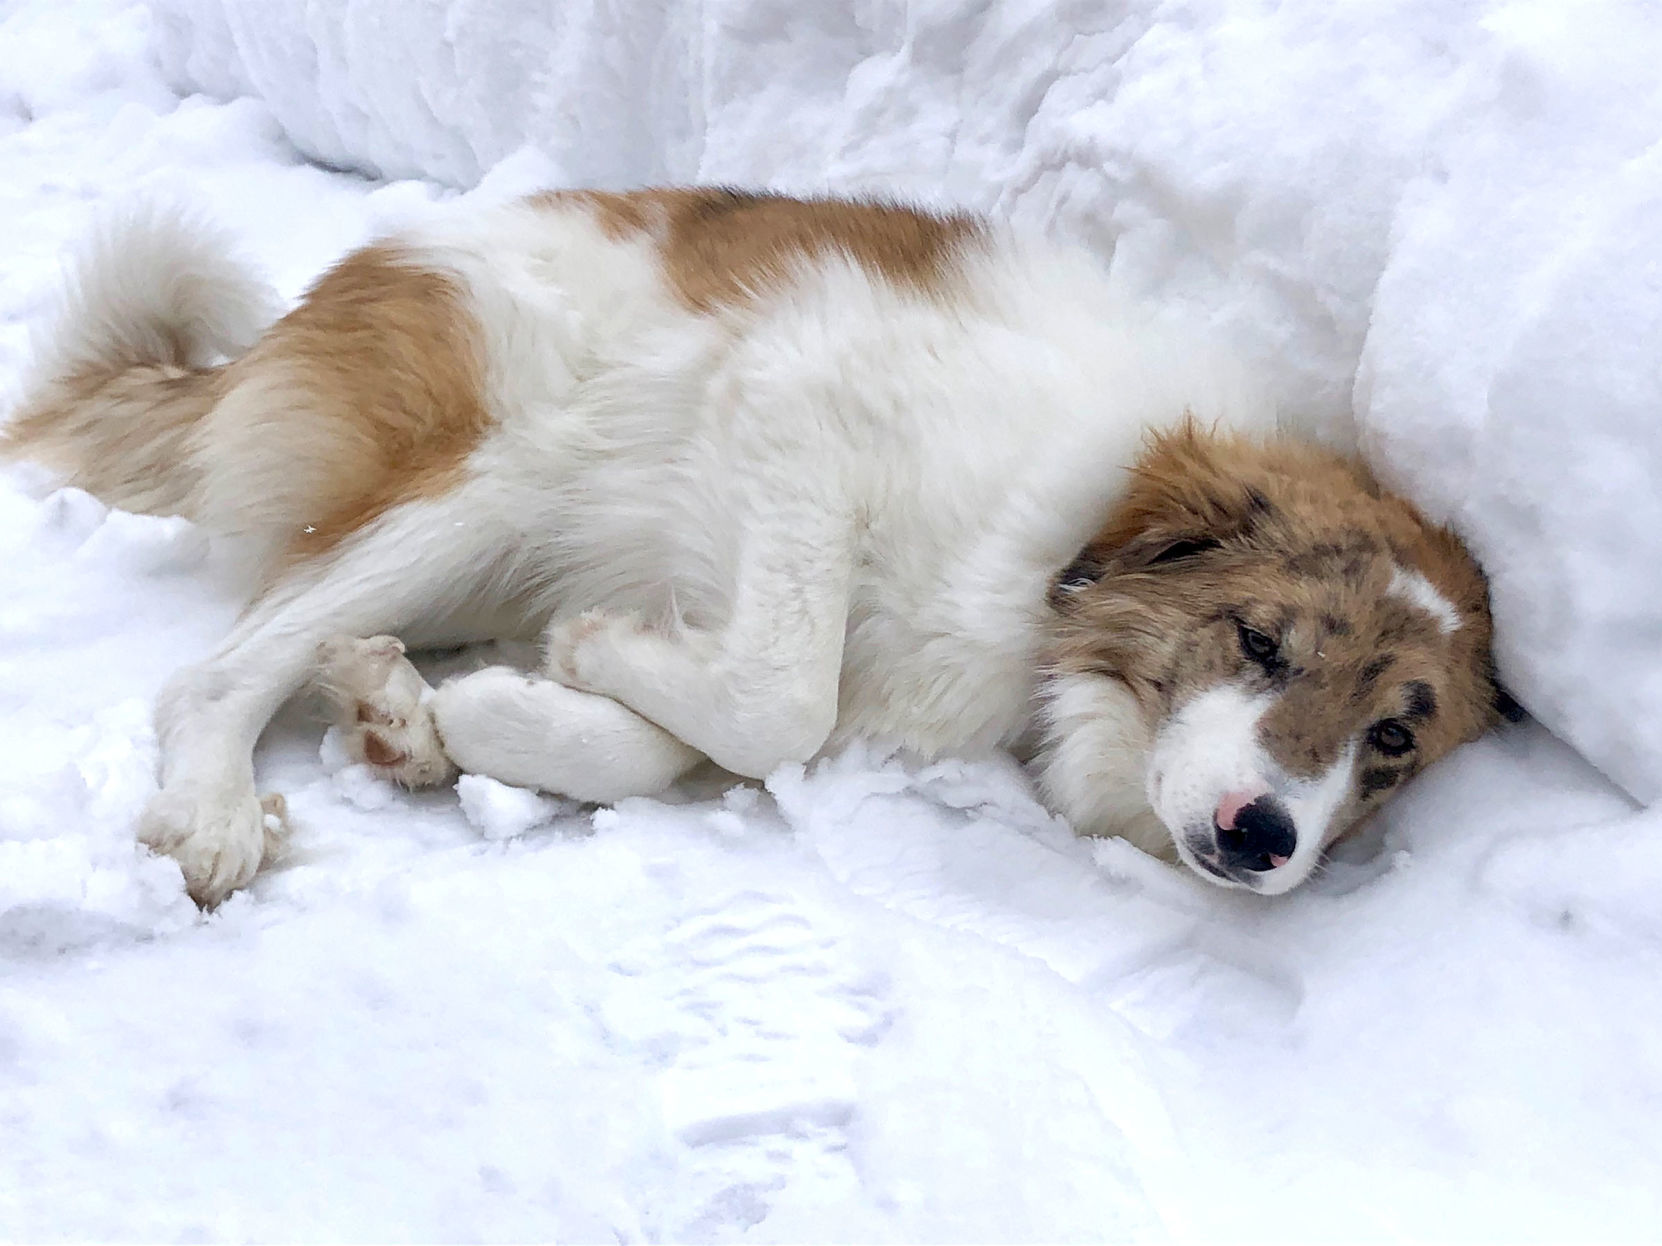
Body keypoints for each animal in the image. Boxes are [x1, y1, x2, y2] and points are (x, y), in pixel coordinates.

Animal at [0, 187, 1522, 910]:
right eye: (1258, 643)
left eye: (1394, 738)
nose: (1264, 840)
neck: (1065, 565)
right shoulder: (798, 407)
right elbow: (778, 699)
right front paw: (580, 660)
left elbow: (688, 739)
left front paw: (499, 710)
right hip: (494, 475)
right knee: (212, 674)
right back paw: (219, 803)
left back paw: (396, 709)